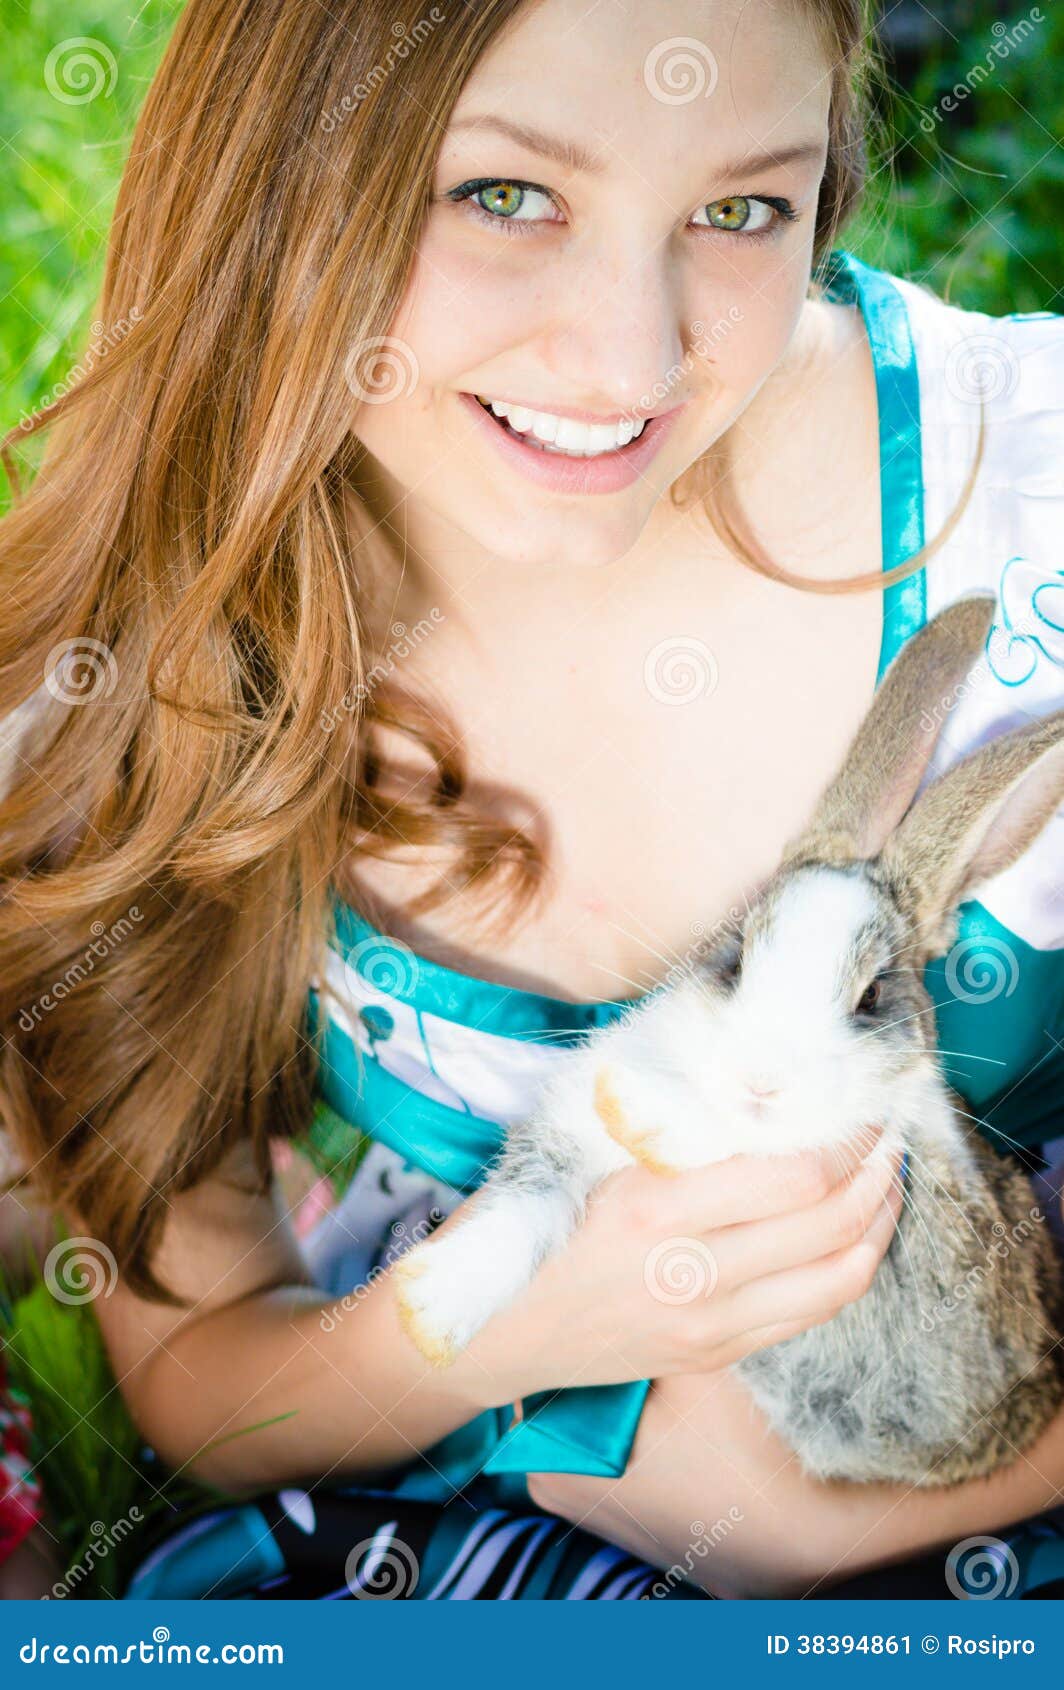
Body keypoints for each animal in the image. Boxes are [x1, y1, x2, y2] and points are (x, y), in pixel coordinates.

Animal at [393, 591, 1064, 1480]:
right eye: (736, 957)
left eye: (872, 995)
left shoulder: (869, 1153)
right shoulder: (564, 1133)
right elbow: (527, 1205)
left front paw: (637, 1111)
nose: (760, 1079)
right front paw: (429, 1312)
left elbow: (750, 1138)